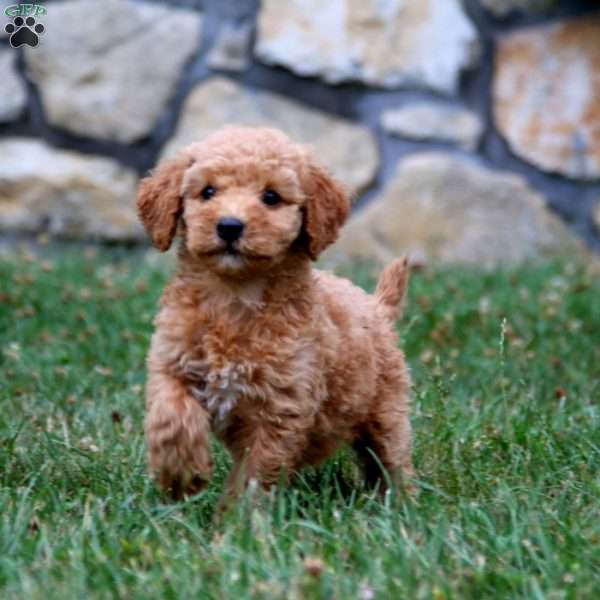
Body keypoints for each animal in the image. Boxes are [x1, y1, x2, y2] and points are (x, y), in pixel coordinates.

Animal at [138, 126, 412, 502]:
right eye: (208, 191)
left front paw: (241, 516)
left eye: (271, 197)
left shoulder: (280, 408)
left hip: (387, 411)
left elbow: (256, 470)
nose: (229, 226)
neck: (236, 296)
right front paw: (179, 473)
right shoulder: (171, 363)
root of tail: (377, 307)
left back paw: (400, 505)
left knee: (392, 460)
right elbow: (171, 414)